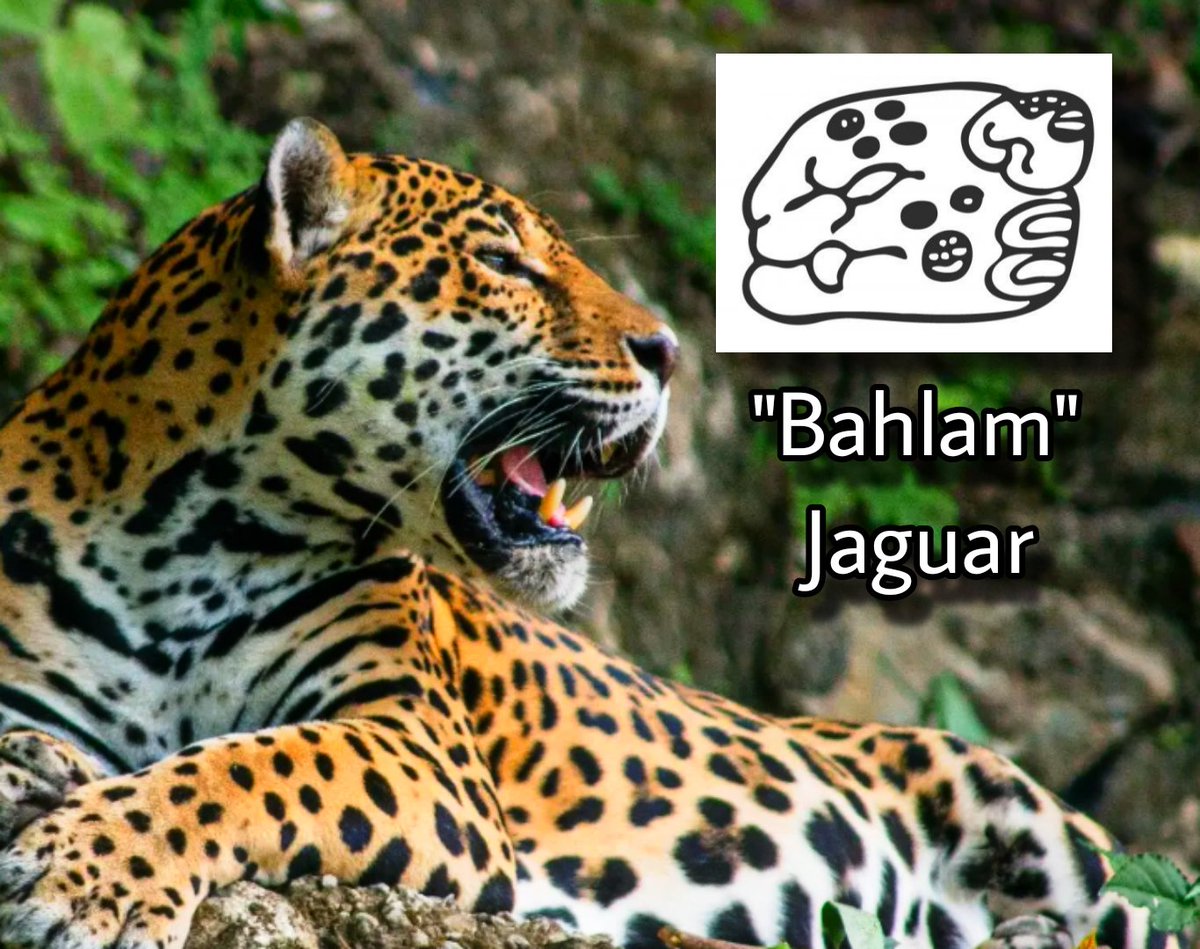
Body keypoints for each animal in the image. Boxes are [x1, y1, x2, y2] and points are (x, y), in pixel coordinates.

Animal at [0, 118, 1174, 949]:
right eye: (503, 264)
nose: (669, 350)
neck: (188, 542)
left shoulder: (421, 745)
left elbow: (248, 767)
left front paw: (90, 875)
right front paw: (44, 779)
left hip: (1043, 826)